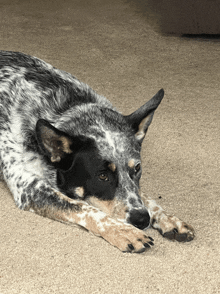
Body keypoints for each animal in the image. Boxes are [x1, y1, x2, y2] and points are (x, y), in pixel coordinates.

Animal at [0, 51, 194, 253]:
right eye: (102, 176)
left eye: (137, 168)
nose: (142, 220)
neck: (66, 110)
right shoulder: (29, 187)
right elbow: (84, 208)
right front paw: (123, 231)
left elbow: (143, 196)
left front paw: (167, 218)